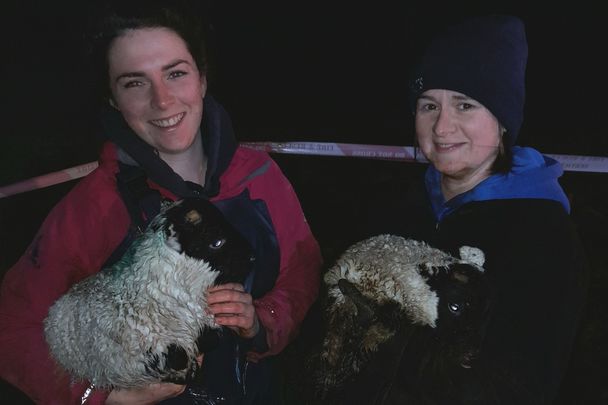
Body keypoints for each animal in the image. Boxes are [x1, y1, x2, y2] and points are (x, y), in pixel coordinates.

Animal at [42, 197, 255, 390]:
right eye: (217, 242)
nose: (252, 257)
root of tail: (51, 317)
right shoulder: (156, 353)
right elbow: (181, 362)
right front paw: (189, 373)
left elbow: (211, 340)